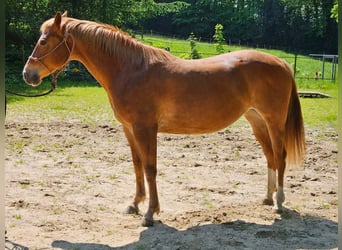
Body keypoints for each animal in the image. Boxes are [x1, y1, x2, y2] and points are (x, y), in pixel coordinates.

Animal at [22, 11, 304, 227]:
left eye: (44, 41)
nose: (28, 74)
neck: (132, 70)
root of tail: (281, 63)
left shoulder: (145, 128)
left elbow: (150, 167)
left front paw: (150, 213)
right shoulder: (129, 129)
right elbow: (137, 165)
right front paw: (135, 204)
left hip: (274, 122)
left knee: (280, 157)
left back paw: (279, 202)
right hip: (256, 121)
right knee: (270, 157)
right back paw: (267, 198)